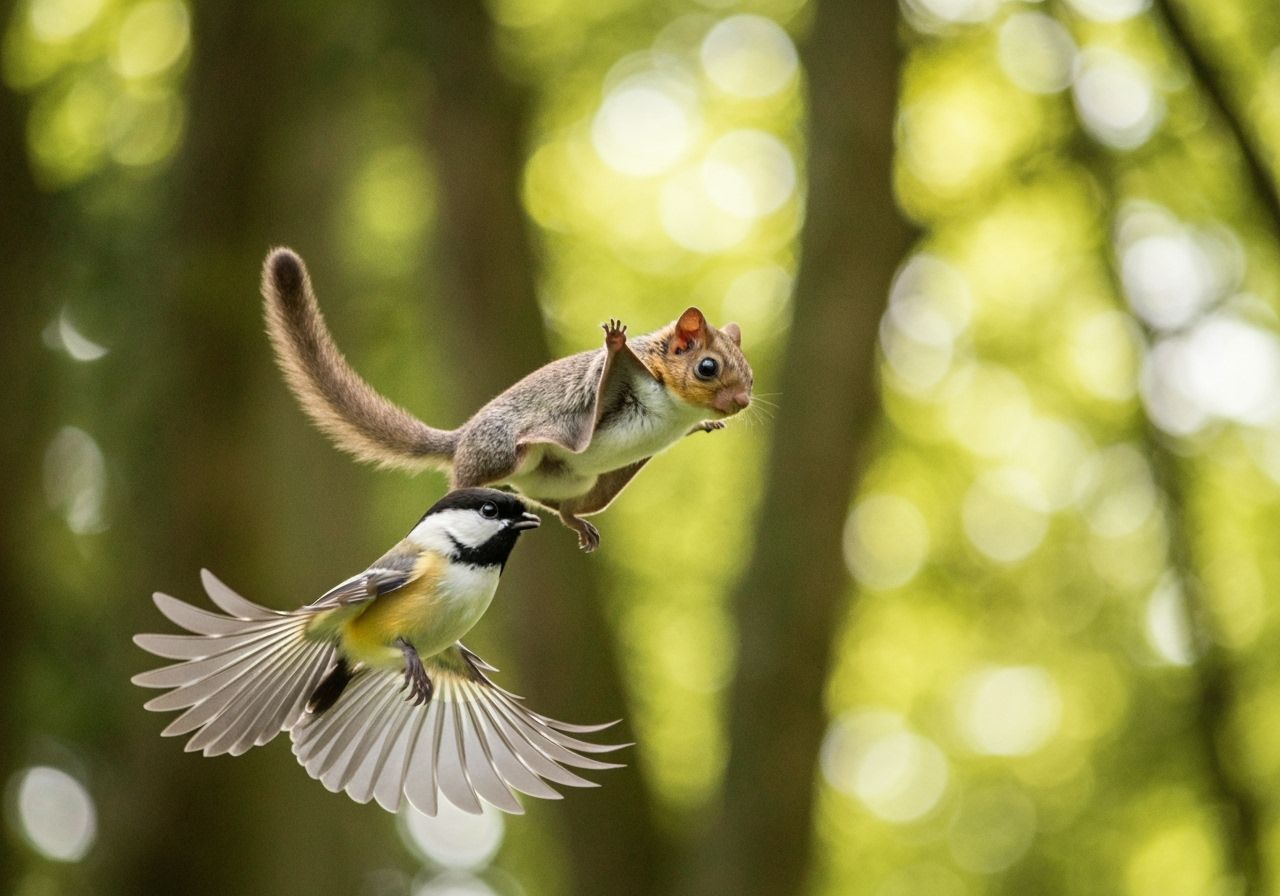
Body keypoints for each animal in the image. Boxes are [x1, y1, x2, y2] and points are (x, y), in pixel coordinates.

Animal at [261, 248, 754, 551]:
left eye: (749, 373)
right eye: (707, 367)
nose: (743, 402)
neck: (674, 409)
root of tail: (462, 439)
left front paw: (706, 423)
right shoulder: (614, 381)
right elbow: (614, 361)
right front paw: (615, 341)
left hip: (590, 487)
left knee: (565, 509)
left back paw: (576, 523)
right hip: (503, 456)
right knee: (464, 487)